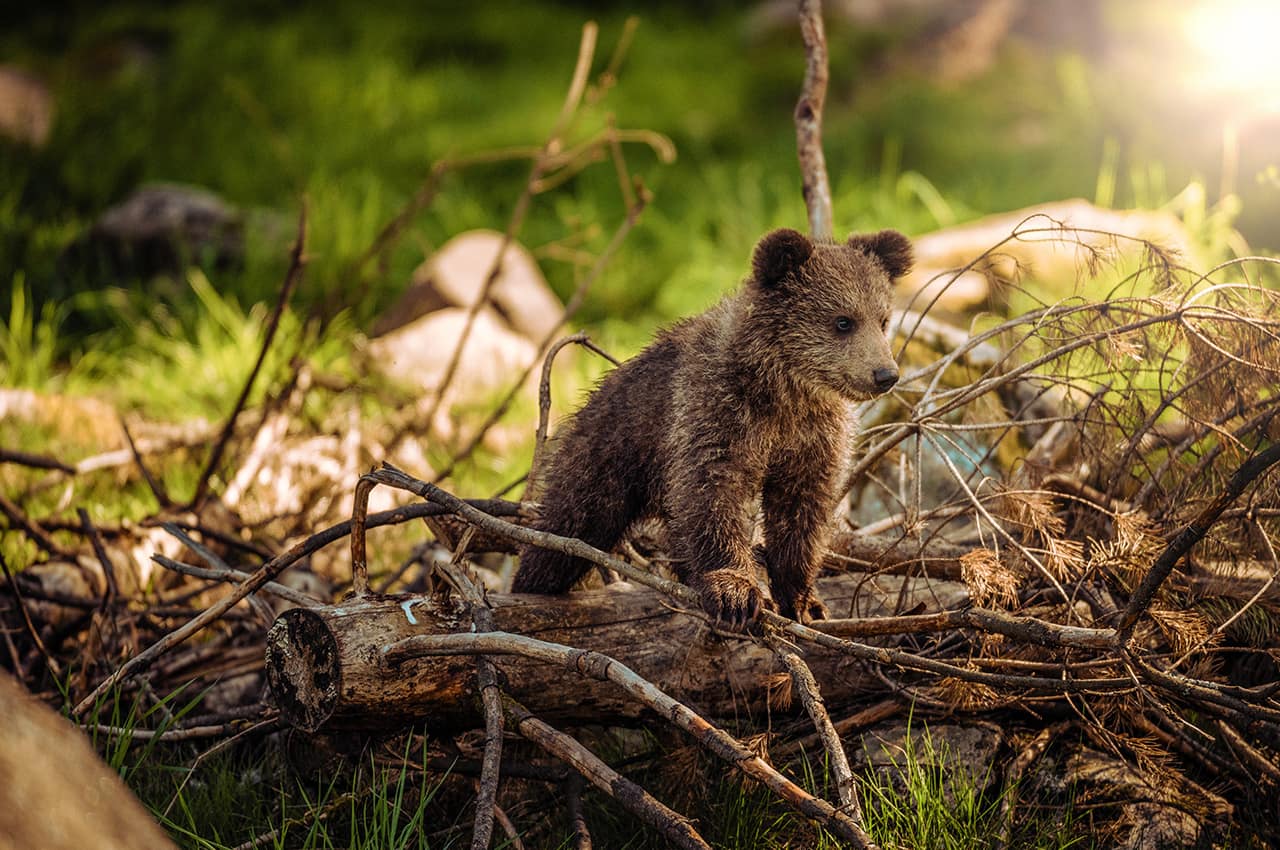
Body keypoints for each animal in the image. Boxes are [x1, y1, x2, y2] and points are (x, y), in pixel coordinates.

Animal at [512, 227, 913, 627]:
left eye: (883, 319)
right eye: (843, 321)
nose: (885, 374)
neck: (783, 391)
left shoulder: (812, 436)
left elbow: (801, 509)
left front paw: (804, 600)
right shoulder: (716, 412)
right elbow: (713, 493)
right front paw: (735, 592)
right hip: (607, 453)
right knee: (567, 527)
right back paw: (531, 584)